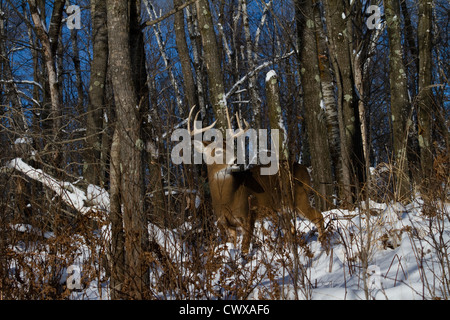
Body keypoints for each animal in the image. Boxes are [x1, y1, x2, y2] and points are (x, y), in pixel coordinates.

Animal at [188, 107, 326, 252]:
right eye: (218, 151)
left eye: (232, 148)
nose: (236, 160)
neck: (226, 199)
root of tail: (305, 170)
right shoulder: (226, 223)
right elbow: (233, 246)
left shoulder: (248, 214)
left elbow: (244, 247)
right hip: (284, 208)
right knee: (291, 230)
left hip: (299, 197)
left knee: (318, 216)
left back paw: (322, 245)